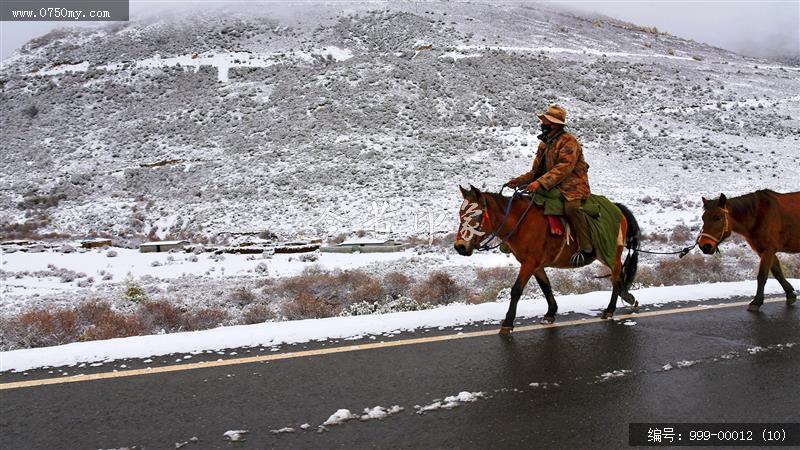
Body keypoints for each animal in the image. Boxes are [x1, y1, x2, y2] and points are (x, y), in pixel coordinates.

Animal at [454, 185, 640, 332]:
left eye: (475, 215)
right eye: (461, 214)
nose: (459, 246)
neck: (521, 224)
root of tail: (617, 208)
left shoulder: (529, 263)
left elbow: (516, 290)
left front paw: (507, 323)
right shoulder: (535, 265)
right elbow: (546, 287)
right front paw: (551, 313)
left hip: (610, 252)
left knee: (616, 277)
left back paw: (610, 309)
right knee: (618, 275)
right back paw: (627, 298)